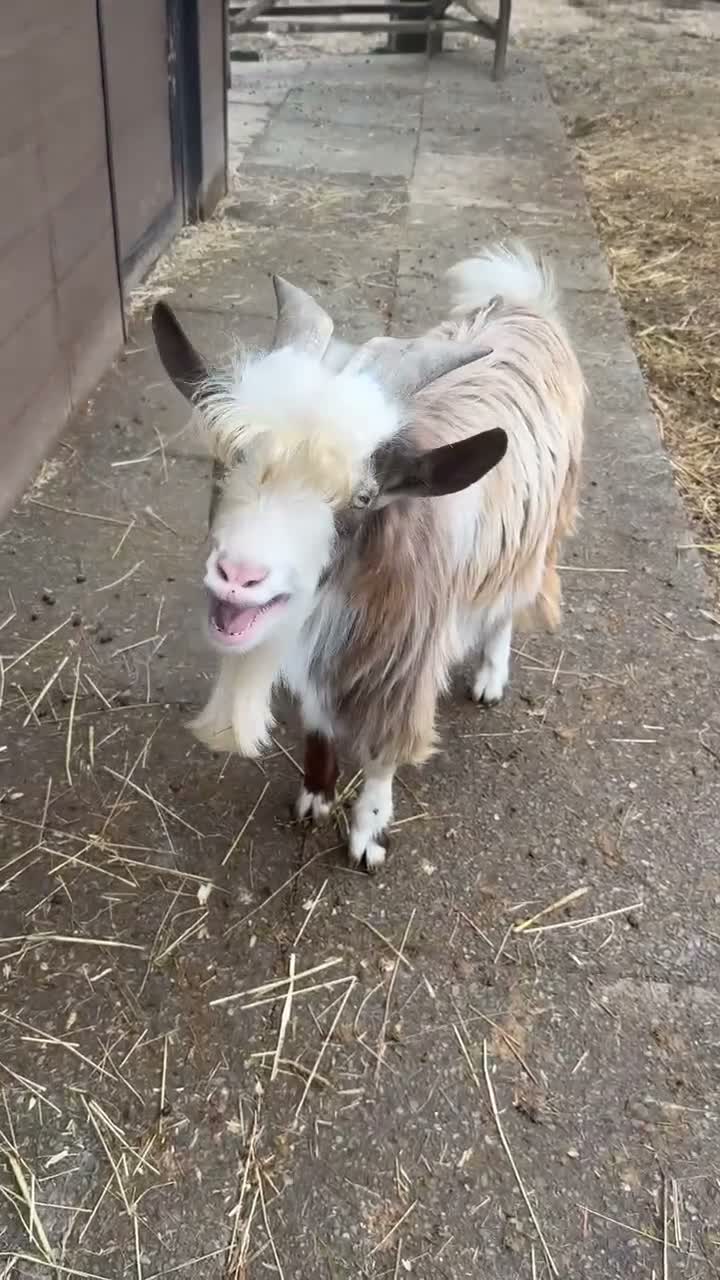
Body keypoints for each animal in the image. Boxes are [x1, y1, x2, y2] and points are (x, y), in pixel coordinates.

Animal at [152, 244, 585, 870]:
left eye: (362, 498)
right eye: (227, 459)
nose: (239, 577)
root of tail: (523, 303)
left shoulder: (401, 663)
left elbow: (383, 754)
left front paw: (368, 833)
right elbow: (318, 723)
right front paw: (315, 795)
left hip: (537, 532)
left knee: (507, 605)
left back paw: (490, 677)